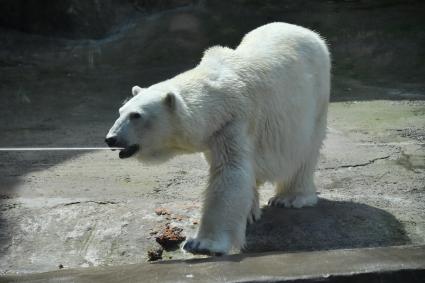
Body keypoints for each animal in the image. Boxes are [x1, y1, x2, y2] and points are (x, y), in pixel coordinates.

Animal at [104, 23, 330, 256]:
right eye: (120, 111)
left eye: (136, 115)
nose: (111, 139)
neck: (217, 97)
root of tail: (306, 32)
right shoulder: (215, 134)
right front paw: (248, 213)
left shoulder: (235, 121)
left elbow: (230, 174)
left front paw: (202, 243)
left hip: (316, 95)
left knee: (305, 151)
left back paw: (290, 198)